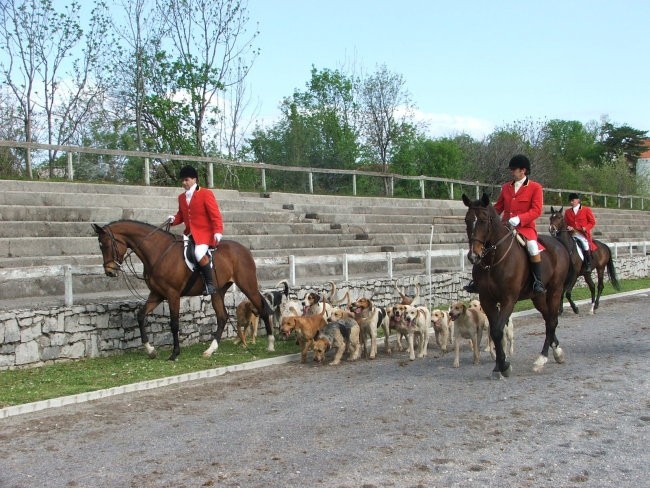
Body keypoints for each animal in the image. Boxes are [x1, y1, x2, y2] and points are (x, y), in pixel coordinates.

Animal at [92, 219, 272, 360]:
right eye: (100, 246)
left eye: (106, 244)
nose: (109, 272)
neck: (158, 252)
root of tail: (244, 250)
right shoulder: (157, 294)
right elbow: (141, 315)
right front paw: (150, 350)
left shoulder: (173, 294)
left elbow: (174, 323)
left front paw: (174, 353)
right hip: (218, 292)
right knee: (222, 317)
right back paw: (210, 350)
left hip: (248, 286)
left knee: (262, 309)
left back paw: (270, 344)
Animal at [460, 194, 568, 378]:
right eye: (467, 220)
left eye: (483, 220)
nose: (474, 256)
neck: (493, 260)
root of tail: (558, 244)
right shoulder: (487, 300)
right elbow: (495, 332)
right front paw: (499, 366)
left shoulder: (508, 299)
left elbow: (497, 330)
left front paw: (503, 366)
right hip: (538, 297)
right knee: (548, 319)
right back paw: (557, 352)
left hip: (555, 291)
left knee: (552, 321)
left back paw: (542, 359)